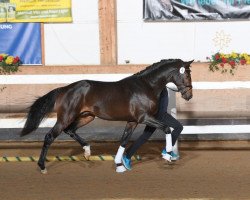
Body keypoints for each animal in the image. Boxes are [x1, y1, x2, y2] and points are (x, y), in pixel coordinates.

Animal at [21, 58, 193, 173]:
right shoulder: (144, 118)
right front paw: (168, 155)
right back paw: (42, 166)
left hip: (87, 116)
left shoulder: (132, 121)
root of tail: (64, 89)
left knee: (70, 130)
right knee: (50, 136)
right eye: (186, 75)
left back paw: (87, 151)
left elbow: (124, 141)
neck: (146, 86)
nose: (189, 95)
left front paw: (119, 165)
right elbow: (167, 128)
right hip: (65, 117)